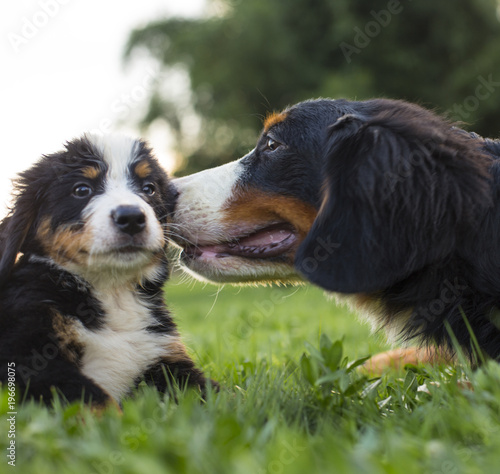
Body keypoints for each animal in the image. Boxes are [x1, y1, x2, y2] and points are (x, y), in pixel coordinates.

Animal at [0, 133, 211, 408]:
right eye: (82, 190)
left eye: (148, 188)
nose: (131, 218)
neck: (112, 291)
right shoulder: (29, 357)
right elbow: (97, 402)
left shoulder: (167, 356)